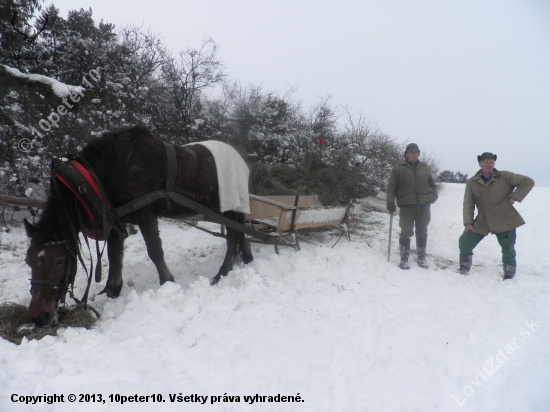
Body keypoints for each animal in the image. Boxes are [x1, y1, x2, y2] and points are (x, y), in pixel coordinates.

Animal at [23, 127, 252, 326]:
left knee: (233, 237)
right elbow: (114, 255)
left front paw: (167, 283)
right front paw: (112, 290)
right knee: (239, 234)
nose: (37, 317)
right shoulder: (114, 218)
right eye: (28, 260)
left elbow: (155, 251)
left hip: (231, 206)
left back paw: (222, 273)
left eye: (59, 260)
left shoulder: (145, 214)